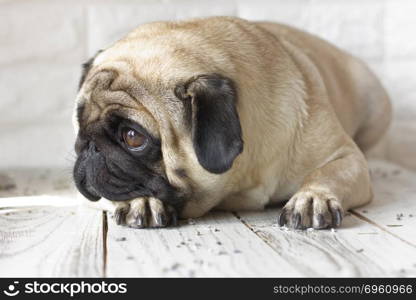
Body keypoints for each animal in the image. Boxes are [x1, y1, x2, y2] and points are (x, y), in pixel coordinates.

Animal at [72, 16, 390, 230]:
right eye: (79, 120)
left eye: (133, 137)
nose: (90, 147)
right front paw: (141, 201)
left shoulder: (346, 158)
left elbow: (326, 174)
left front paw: (313, 198)